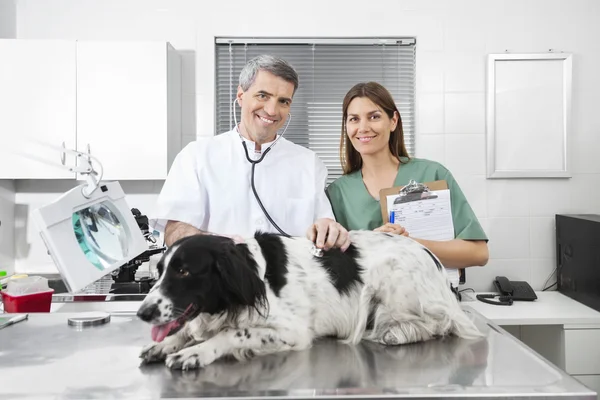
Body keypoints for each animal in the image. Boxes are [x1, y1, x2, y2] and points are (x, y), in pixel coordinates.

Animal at [137, 230, 482, 370]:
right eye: (161, 270)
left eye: (184, 271)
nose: (142, 313)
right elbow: (185, 329)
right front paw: (164, 345)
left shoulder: (293, 331)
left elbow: (232, 333)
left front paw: (195, 353)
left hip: (389, 273)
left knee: (442, 322)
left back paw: (397, 332)